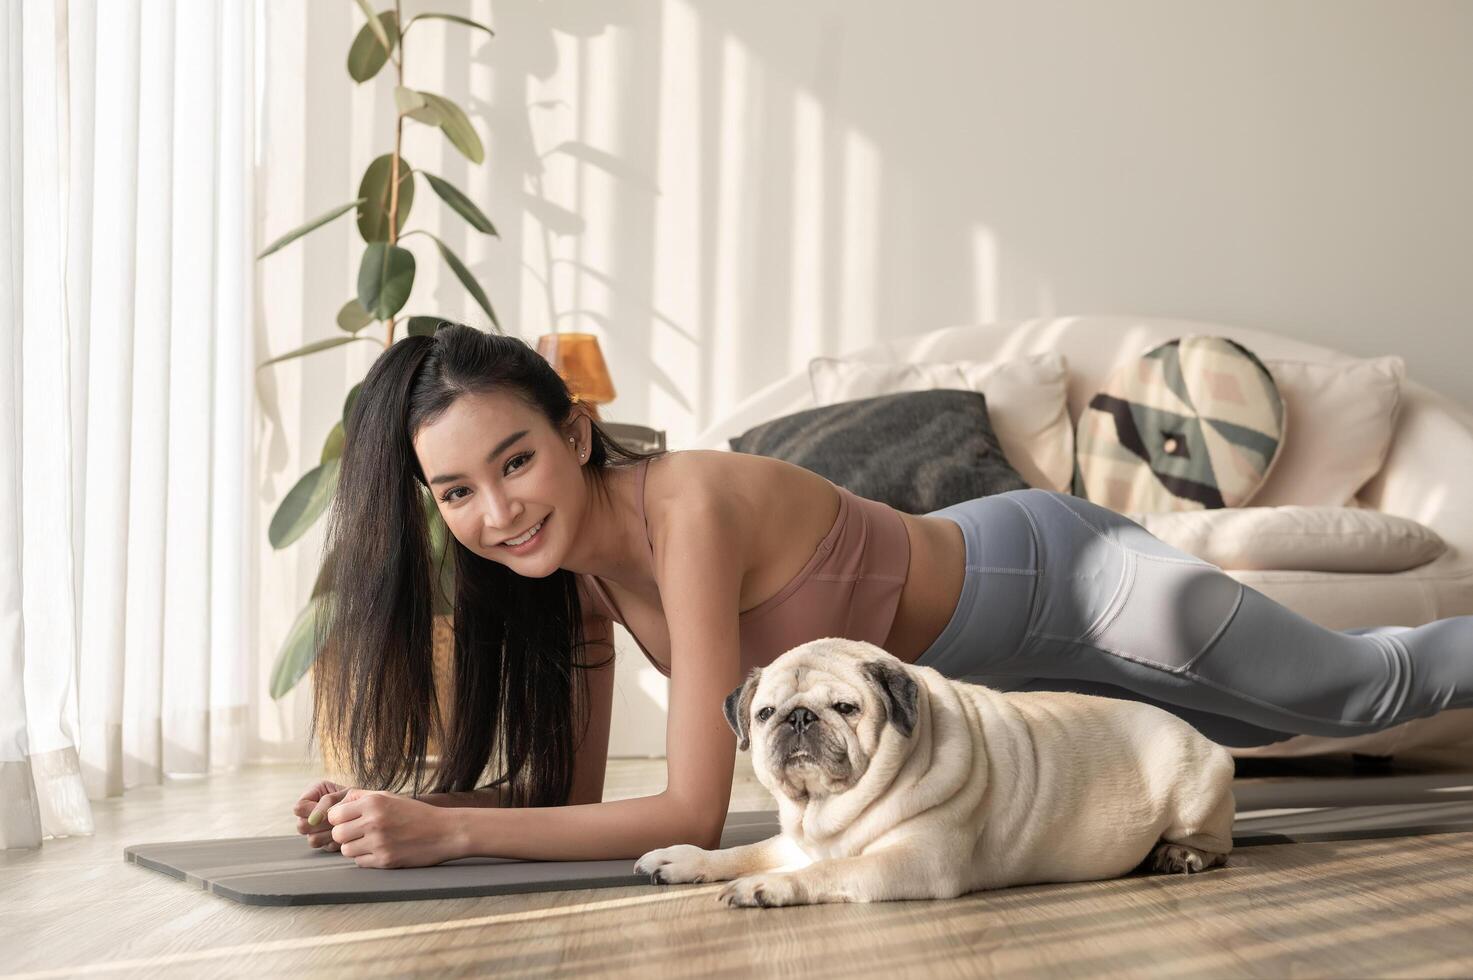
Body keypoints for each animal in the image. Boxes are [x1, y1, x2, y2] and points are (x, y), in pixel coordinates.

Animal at [633, 639, 1231, 907]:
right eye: (764, 715)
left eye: (846, 708)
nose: (799, 717)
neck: (830, 810)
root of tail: (1208, 740)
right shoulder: (802, 841)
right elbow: (743, 851)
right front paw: (683, 859)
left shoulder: (913, 864)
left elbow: (826, 871)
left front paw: (769, 886)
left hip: (1193, 794)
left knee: (1218, 846)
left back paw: (1179, 855)